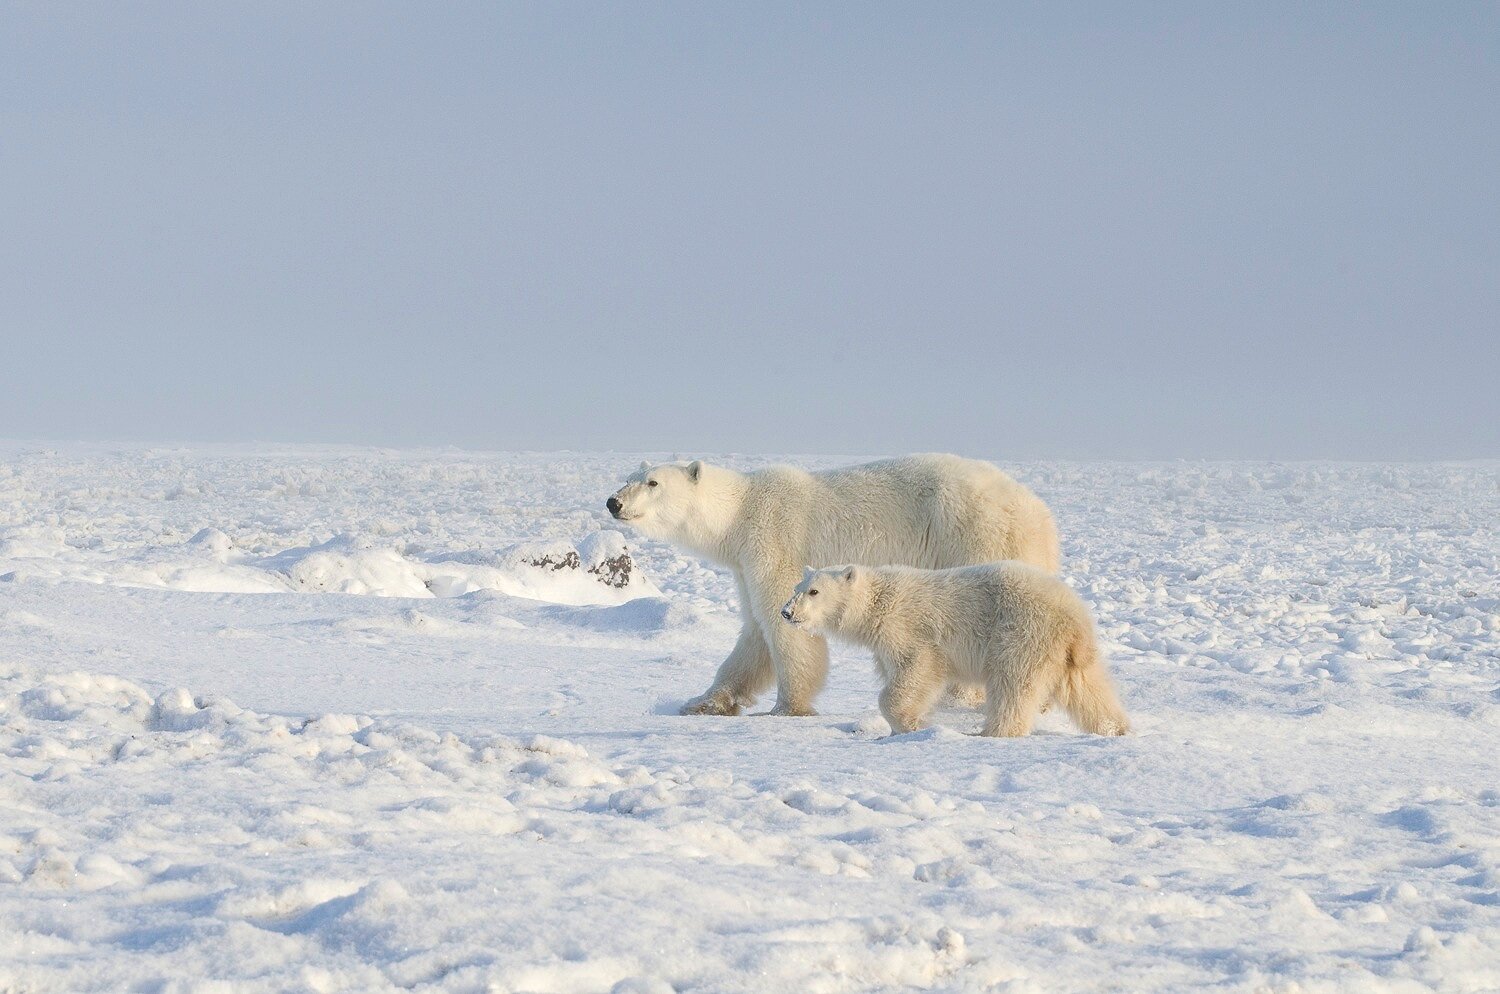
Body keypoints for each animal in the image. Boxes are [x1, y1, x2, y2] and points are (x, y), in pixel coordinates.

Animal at [603, 455, 1062, 719]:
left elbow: (785, 626)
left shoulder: (774, 542)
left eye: (653, 483)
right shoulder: (744, 566)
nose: (613, 502)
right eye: (629, 476)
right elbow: (753, 635)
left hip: (972, 537)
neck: (740, 512)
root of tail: (1039, 516)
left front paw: (787, 708)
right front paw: (704, 702)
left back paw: (958, 698)